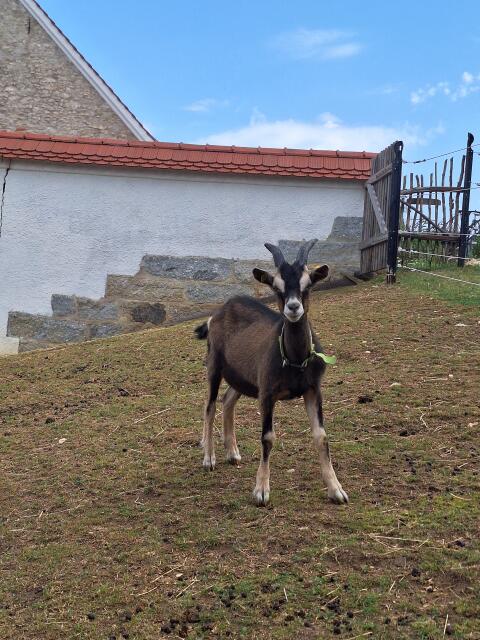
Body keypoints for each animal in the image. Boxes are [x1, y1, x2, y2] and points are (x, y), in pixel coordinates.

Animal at [194, 239, 348, 506]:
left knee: (227, 400)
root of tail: (219, 312)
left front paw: (336, 489)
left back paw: (232, 452)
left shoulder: (313, 389)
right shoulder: (267, 393)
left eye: (308, 284)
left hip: (243, 377)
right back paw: (209, 457)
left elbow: (321, 436)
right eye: (276, 287)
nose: (293, 307)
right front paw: (261, 491)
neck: (295, 361)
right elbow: (267, 437)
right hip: (214, 365)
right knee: (210, 405)